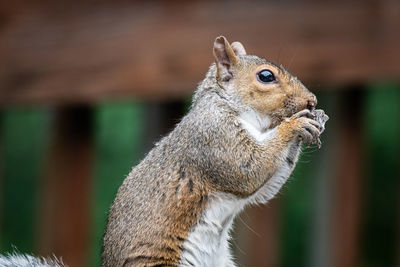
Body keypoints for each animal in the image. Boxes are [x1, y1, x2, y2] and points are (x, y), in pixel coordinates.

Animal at [0, 36, 328, 267]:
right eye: (266, 76)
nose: (311, 100)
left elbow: (263, 188)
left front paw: (317, 119)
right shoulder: (212, 138)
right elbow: (247, 169)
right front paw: (295, 125)